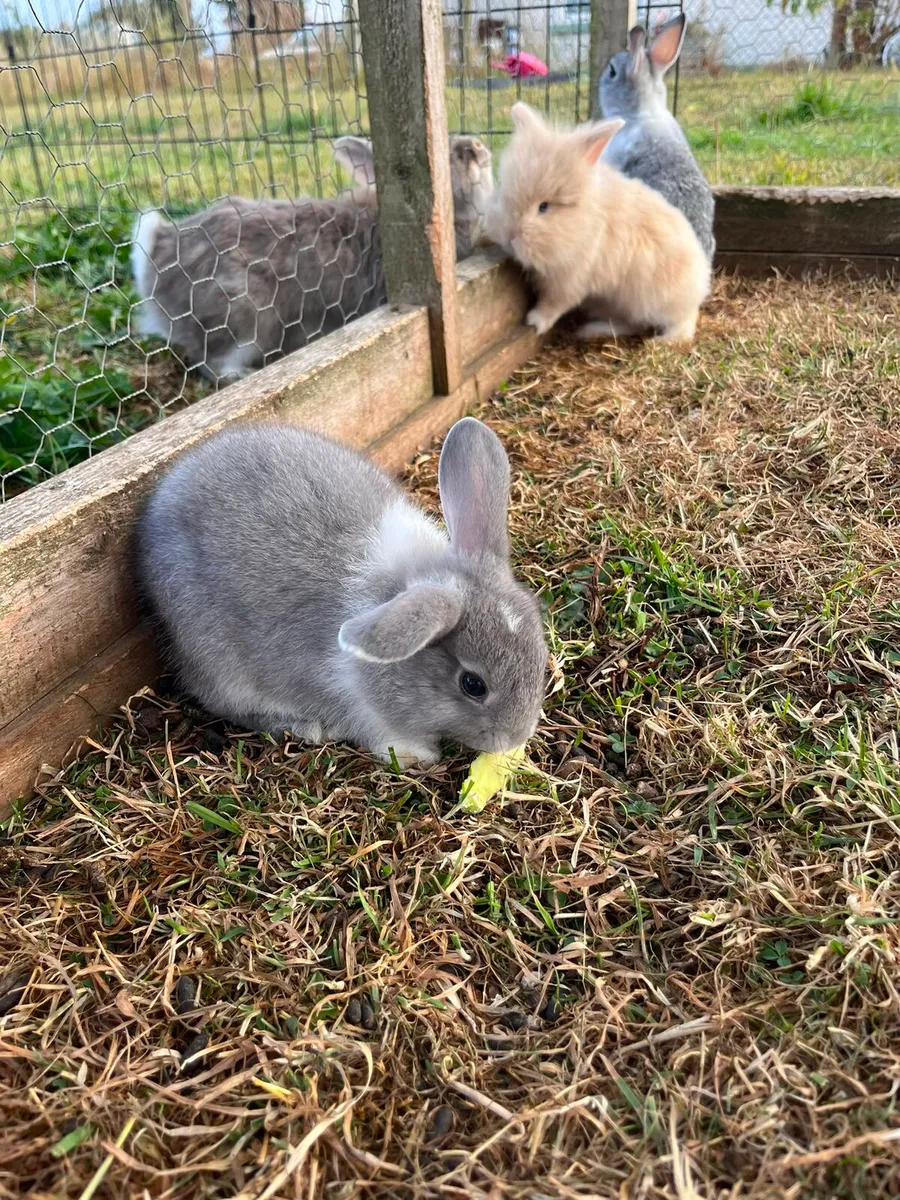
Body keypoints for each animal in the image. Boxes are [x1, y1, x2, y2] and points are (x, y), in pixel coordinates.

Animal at [135, 417, 548, 767]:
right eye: (472, 685)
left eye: (541, 658)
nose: (514, 737)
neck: (401, 588)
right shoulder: (361, 708)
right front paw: (418, 757)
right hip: (220, 664)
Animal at [484, 102, 711, 344]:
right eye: (503, 191)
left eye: (544, 207)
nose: (509, 236)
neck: (582, 219)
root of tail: (700, 284)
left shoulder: (572, 278)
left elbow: (555, 304)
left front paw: (535, 322)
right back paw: (590, 330)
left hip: (650, 302)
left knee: (681, 322)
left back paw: (663, 340)